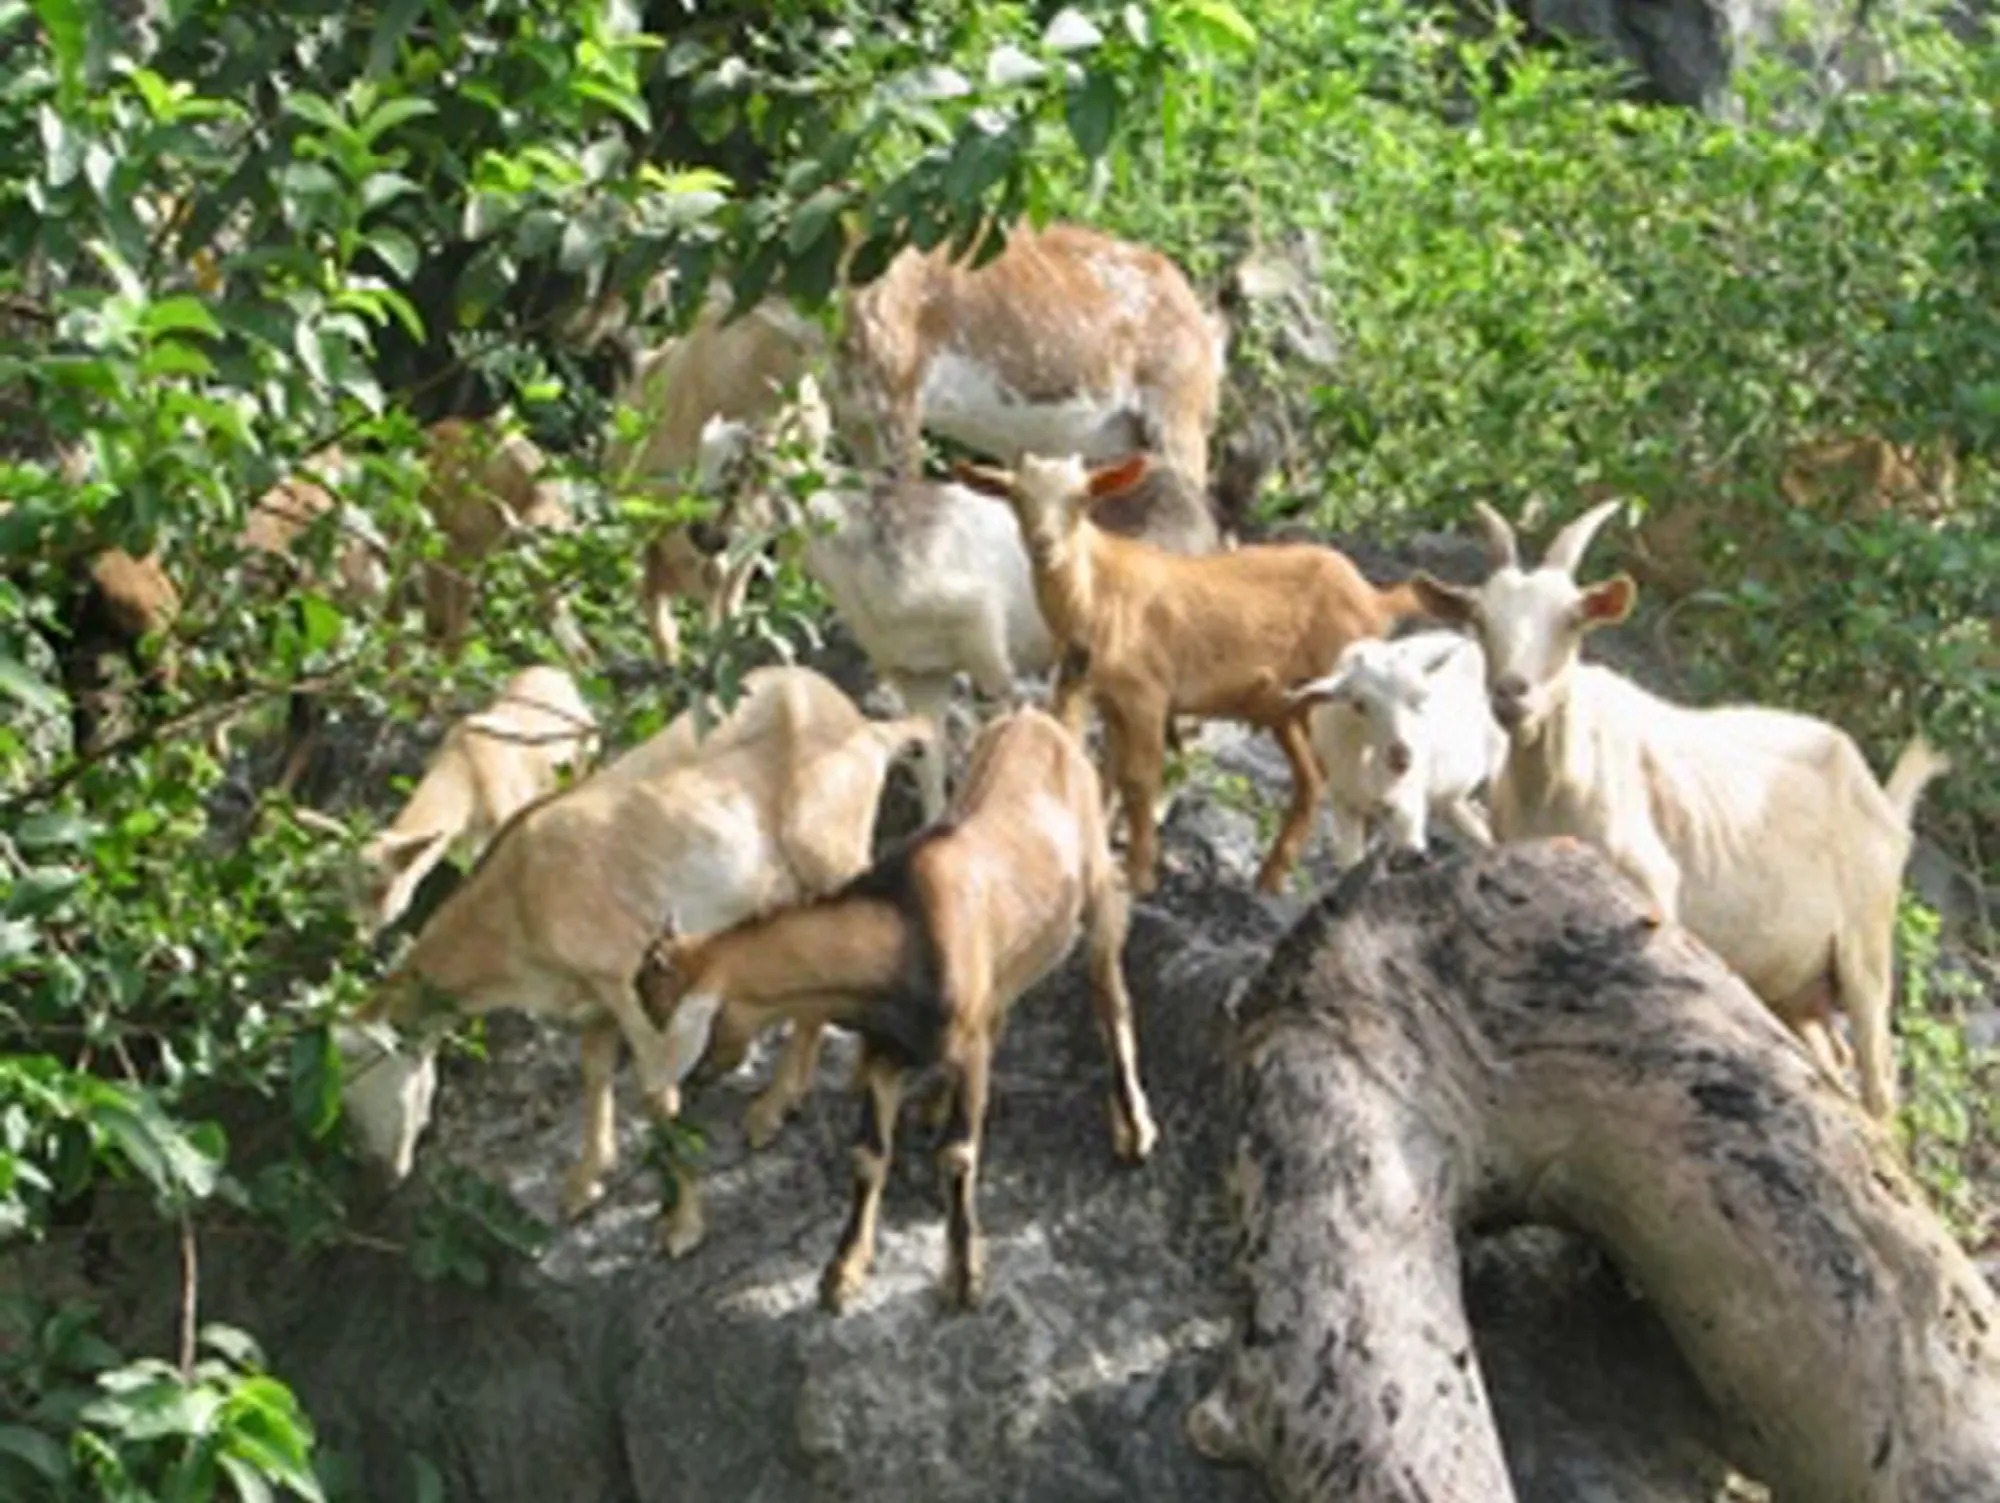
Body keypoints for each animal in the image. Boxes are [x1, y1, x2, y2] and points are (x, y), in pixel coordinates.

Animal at [348, 665, 599, 941]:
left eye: (381, 889)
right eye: (348, 888)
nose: (359, 936)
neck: (466, 771)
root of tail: (558, 673)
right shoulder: (467, 847)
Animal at [635, 706, 1157, 1312]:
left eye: (665, 1015)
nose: (675, 1091)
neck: (902, 931)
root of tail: (1040, 718)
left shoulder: (968, 1049)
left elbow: (958, 1152)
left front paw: (963, 1275)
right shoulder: (886, 1050)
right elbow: (868, 1154)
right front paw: (842, 1272)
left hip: (1098, 893)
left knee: (1109, 995)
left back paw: (1134, 1128)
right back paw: (932, 1104)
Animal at [956, 453, 1432, 896]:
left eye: (1081, 498)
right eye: (1016, 497)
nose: (1044, 546)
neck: (1097, 596)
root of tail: (1375, 598)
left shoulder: (1147, 694)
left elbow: (1139, 778)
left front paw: (1140, 875)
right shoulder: (1097, 693)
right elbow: (1099, 768)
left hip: (1348, 701)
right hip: (1289, 708)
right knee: (1312, 779)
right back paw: (1270, 879)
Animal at [1289, 630, 1506, 868]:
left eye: (1418, 699)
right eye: (1358, 704)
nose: (1401, 758)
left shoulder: (1406, 802)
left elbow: (1410, 845)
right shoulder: (1345, 801)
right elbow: (1351, 859)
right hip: (1450, 798)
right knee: (1477, 824)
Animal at [1411, 500, 1950, 1118]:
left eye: (1572, 620)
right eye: (1479, 618)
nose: (1511, 693)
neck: (1553, 780)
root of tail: (1884, 802)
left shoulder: (1652, 884)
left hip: (1867, 945)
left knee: (1879, 1080)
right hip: (1795, 985)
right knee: (1830, 1064)